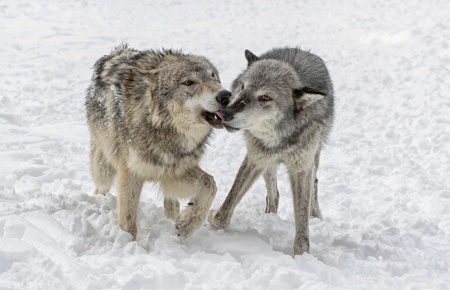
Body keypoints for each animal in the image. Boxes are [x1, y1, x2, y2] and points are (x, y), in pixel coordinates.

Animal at [85, 44, 232, 240]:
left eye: (213, 76)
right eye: (188, 82)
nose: (226, 95)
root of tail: (116, 51)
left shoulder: (174, 170)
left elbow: (210, 184)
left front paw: (187, 224)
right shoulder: (130, 172)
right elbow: (128, 218)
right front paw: (130, 242)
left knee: (172, 201)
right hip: (103, 169)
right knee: (100, 187)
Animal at [208, 47, 334, 256]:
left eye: (265, 97)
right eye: (243, 87)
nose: (224, 113)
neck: (280, 138)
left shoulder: (302, 168)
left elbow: (302, 222)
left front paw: (302, 256)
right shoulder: (256, 159)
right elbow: (225, 210)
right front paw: (212, 219)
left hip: (313, 157)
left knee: (314, 183)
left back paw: (315, 214)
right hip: (266, 162)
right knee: (273, 191)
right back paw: (270, 216)